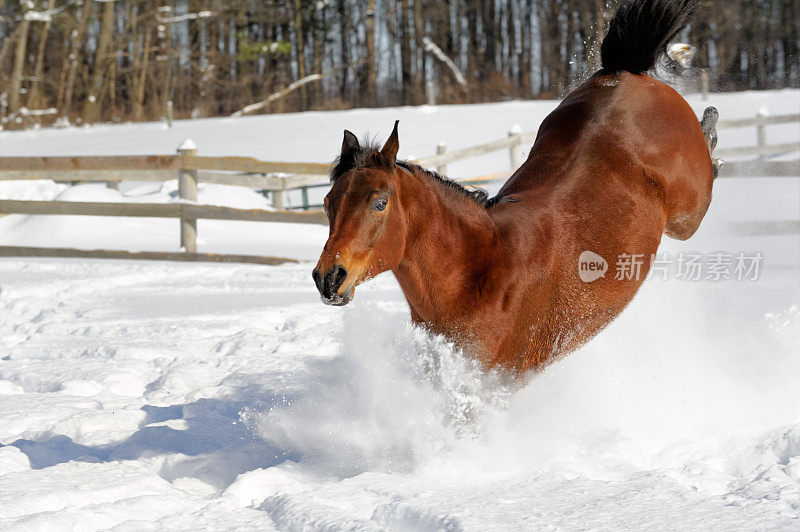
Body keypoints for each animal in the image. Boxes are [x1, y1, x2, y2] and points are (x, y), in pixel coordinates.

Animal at [312, 0, 720, 374]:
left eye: (379, 203)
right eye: (327, 203)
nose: (328, 278)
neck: (482, 269)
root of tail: (623, 71)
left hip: (686, 214)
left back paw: (712, 125)